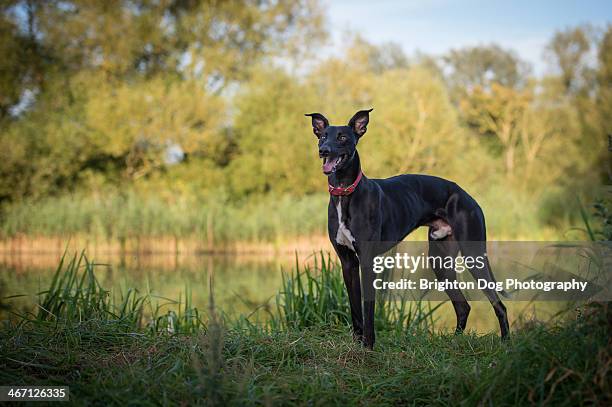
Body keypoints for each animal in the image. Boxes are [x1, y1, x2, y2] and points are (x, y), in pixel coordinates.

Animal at [304, 110, 510, 350]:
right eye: (322, 136)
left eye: (343, 137)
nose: (324, 150)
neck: (345, 193)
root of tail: (468, 196)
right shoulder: (348, 263)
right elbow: (355, 309)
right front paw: (357, 344)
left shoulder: (367, 261)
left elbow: (368, 308)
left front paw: (368, 346)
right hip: (440, 260)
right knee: (463, 306)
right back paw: (454, 342)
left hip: (473, 254)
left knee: (499, 305)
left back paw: (506, 343)